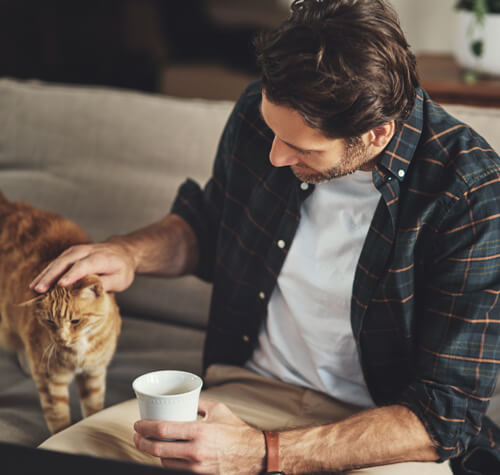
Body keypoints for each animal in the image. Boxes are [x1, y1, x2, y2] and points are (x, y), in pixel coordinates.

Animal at [0, 193, 121, 436]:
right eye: (49, 322)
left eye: (75, 321)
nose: (62, 339)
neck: (79, 350)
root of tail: (8, 206)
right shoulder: (50, 382)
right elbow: (59, 420)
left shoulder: (94, 374)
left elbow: (93, 411)